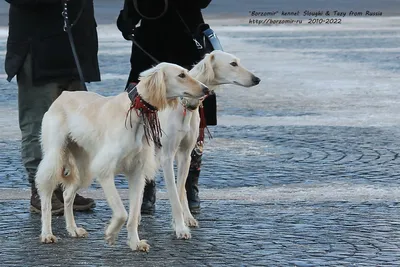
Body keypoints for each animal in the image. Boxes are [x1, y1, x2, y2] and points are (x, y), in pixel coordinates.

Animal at [35, 61, 209, 252]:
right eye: (181, 75)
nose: (206, 89)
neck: (136, 113)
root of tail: (63, 95)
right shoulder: (104, 170)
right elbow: (121, 212)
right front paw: (111, 234)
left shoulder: (137, 173)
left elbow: (132, 215)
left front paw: (134, 242)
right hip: (55, 155)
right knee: (46, 194)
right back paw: (47, 233)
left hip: (84, 167)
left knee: (67, 194)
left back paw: (73, 229)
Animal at [155, 50, 260, 239]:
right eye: (233, 64)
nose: (257, 79)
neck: (184, 104)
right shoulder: (166, 156)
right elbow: (173, 193)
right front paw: (180, 228)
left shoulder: (185, 154)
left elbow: (180, 190)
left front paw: (184, 220)